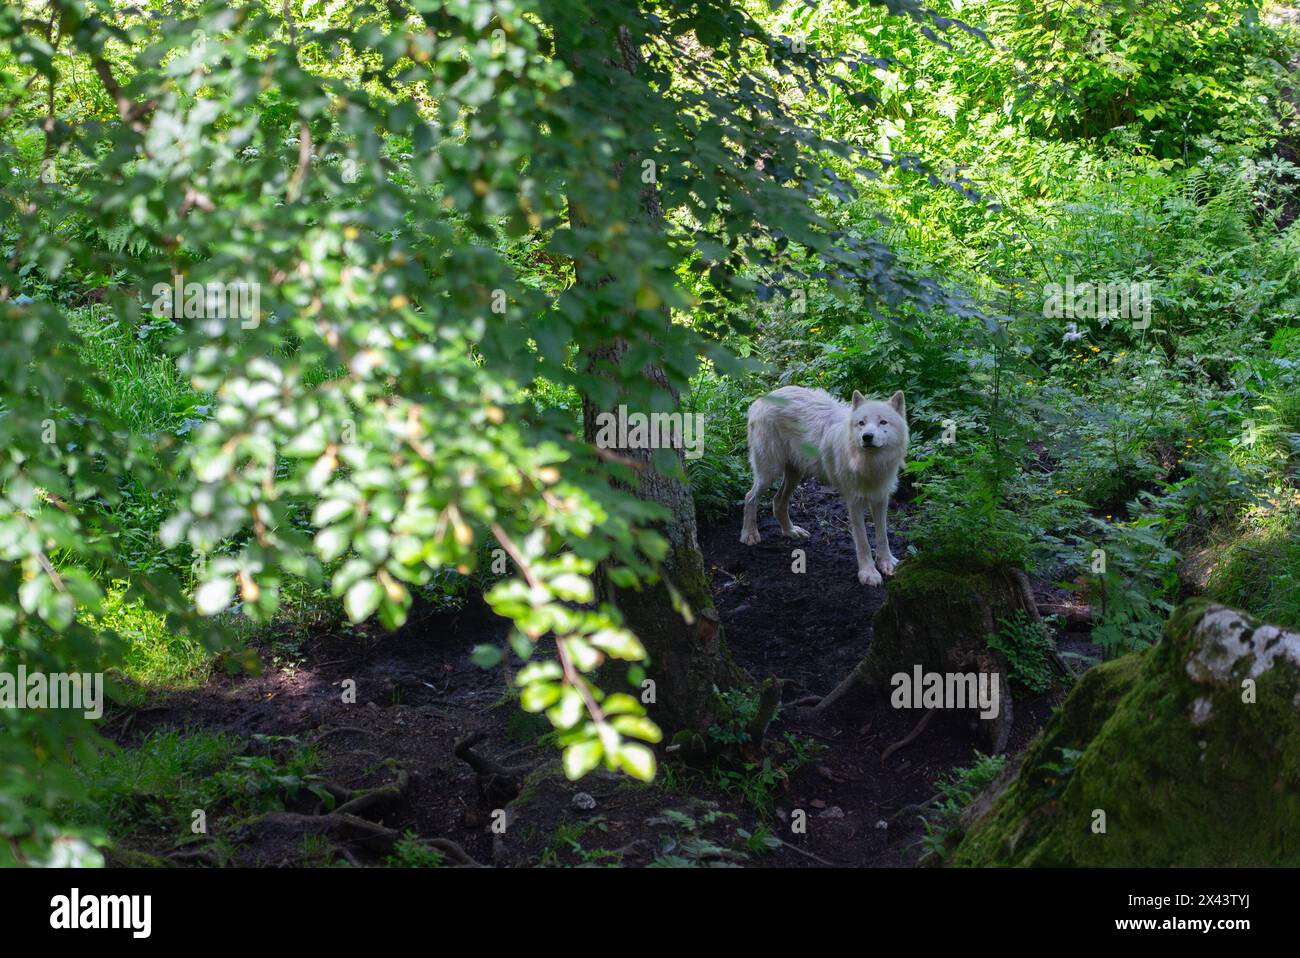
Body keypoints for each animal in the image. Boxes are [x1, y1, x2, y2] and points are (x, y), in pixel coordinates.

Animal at [740, 386, 908, 586]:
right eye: (861, 423)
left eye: (883, 422)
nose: (867, 437)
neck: (869, 463)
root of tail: (762, 398)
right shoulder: (854, 503)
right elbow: (863, 541)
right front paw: (868, 573)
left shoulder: (881, 498)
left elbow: (883, 535)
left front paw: (887, 563)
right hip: (768, 473)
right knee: (749, 497)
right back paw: (749, 535)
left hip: (795, 474)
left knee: (777, 501)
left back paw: (791, 531)